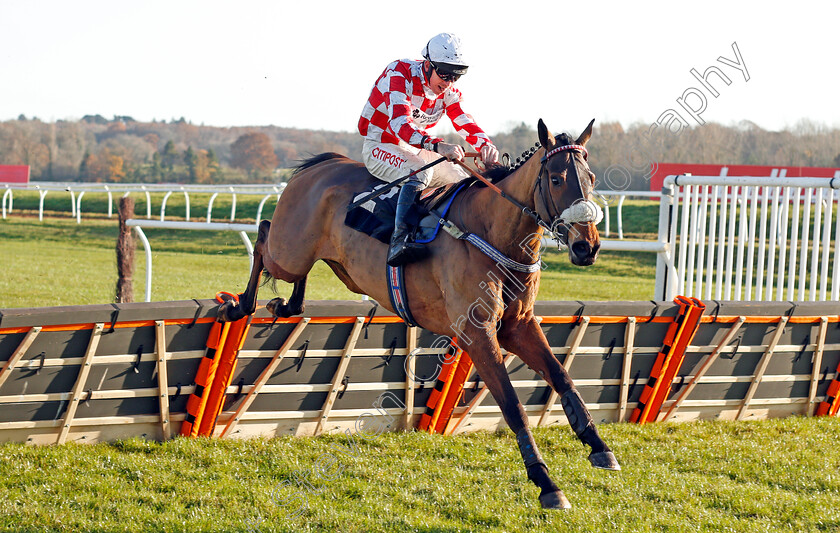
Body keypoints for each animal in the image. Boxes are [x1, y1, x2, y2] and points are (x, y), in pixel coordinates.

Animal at [220, 118, 620, 510]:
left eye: (591, 178)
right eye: (556, 178)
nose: (587, 247)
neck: (492, 231)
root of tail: (322, 165)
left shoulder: (517, 326)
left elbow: (563, 379)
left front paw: (600, 447)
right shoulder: (478, 332)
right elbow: (512, 405)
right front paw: (546, 482)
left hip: (319, 259)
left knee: (290, 273)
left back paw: (285, 305)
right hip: (288, 252)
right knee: (263, 236)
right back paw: (238, 304)